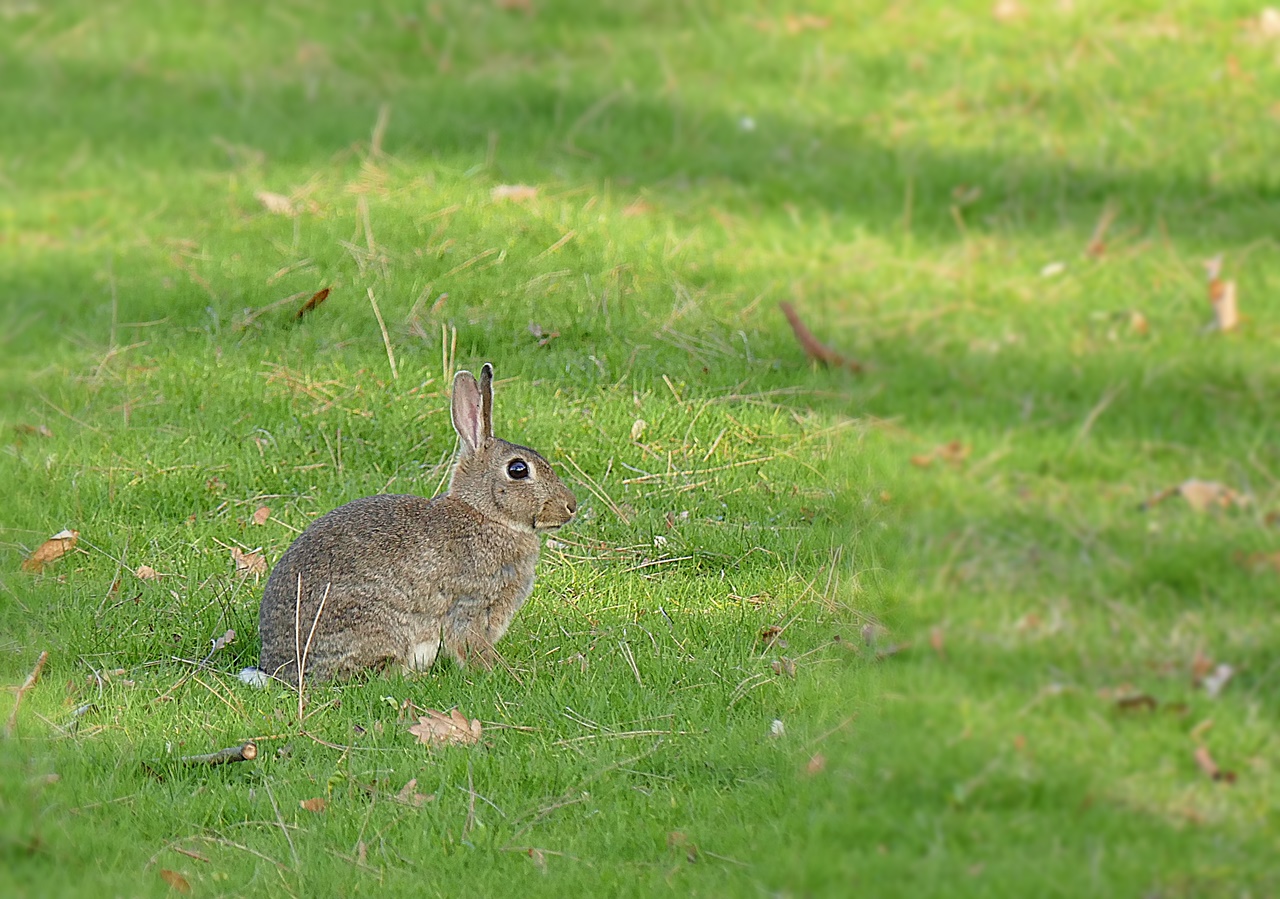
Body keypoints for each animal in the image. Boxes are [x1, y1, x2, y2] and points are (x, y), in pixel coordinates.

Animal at [239, 366, 576, 691]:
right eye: (518, 469)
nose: (571, 506)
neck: (487, 514)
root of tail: (278, 669)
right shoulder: (471, 605)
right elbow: (471, 645)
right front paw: (498, 674)